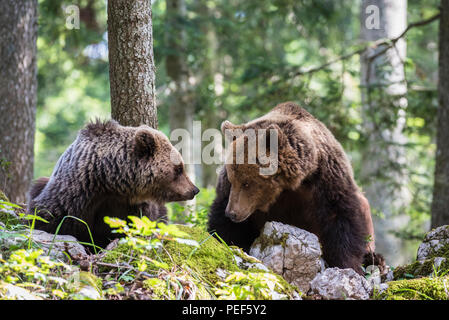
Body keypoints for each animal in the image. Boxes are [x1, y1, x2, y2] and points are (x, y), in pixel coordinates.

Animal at [208, 102, 384, 276]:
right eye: (232, 179)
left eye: (246, 183)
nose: (232, 213)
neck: (290, 185)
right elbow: (224, 224)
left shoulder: (327, 181)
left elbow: (342, 220)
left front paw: (349, 266)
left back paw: (376, 260)